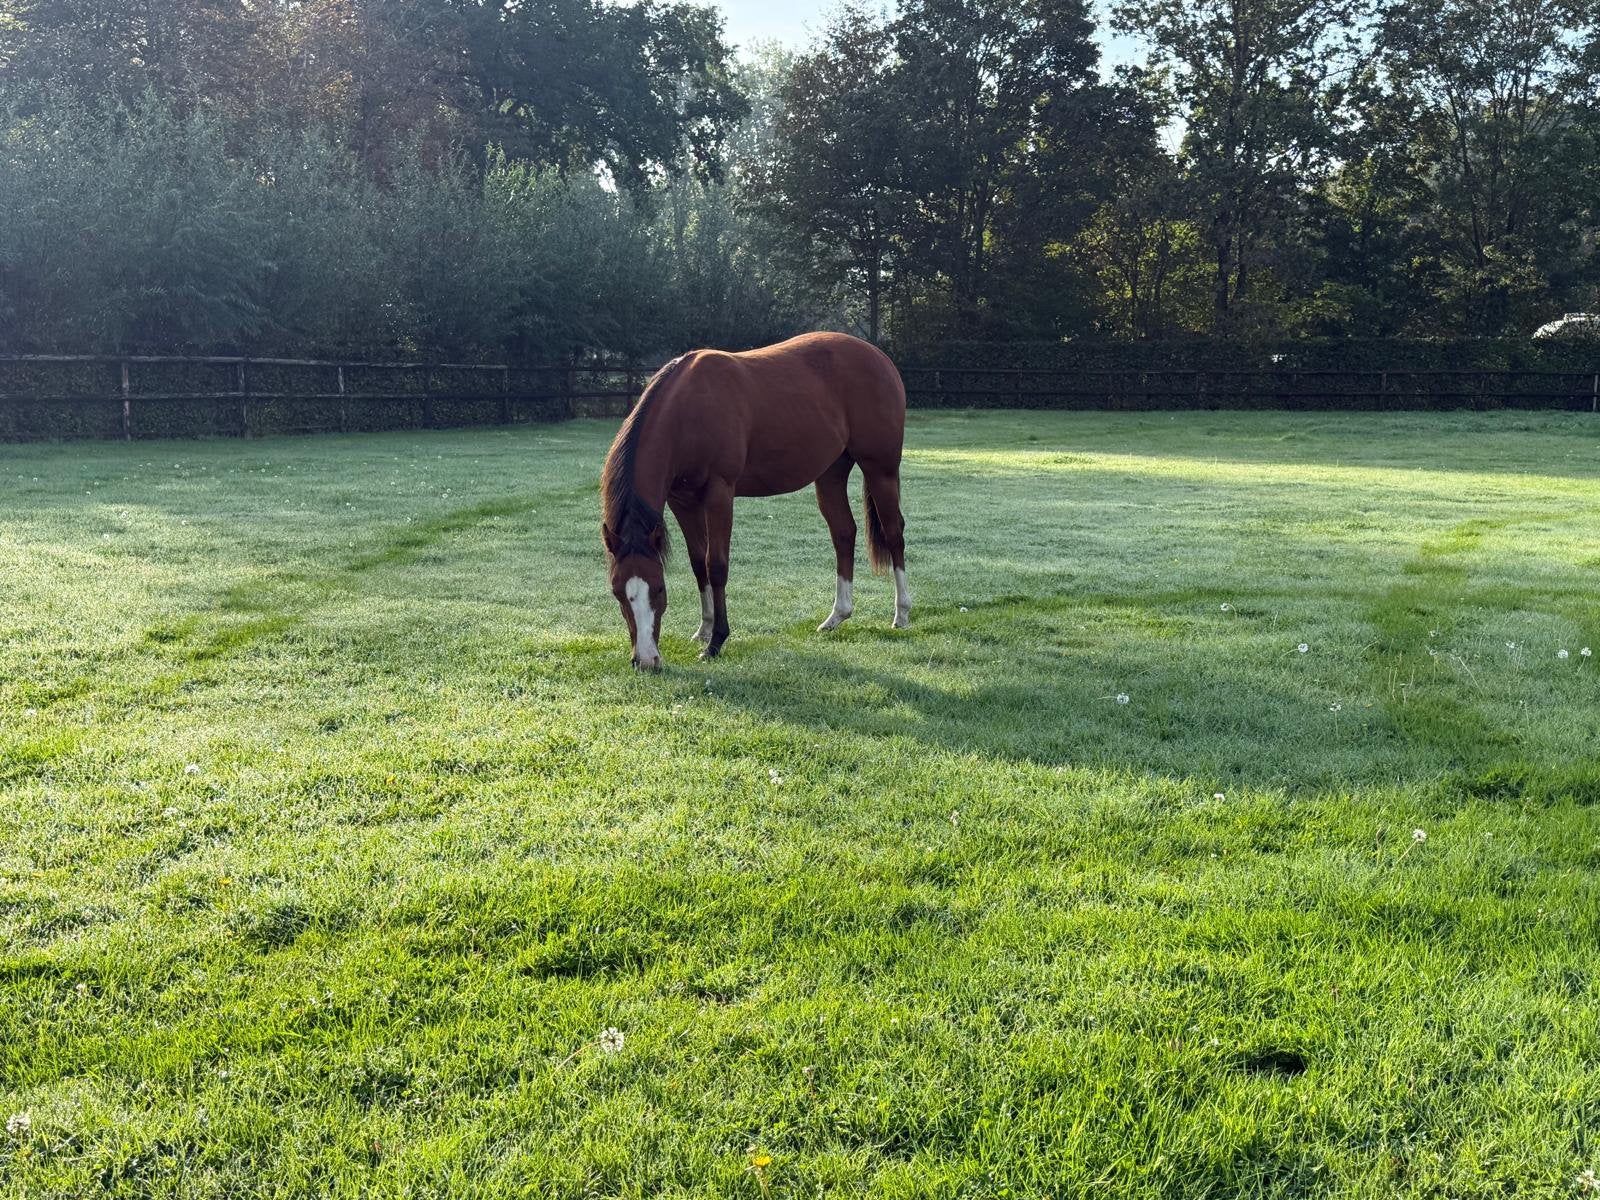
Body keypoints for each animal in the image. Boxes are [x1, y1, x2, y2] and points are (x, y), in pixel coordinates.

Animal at [600, 331, 910, 670]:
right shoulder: (682, 501)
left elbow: (715, 564)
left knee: (894, 533)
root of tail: (878, 357)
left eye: (658, 587)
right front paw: (704, 628)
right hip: (831, 474)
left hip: (880, 469)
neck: (687, 413)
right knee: (843, 533)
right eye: (617, 593)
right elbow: (698, 563)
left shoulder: (719, 493)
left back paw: (902, 613)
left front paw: (716, 640)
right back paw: (837, 616)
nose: (645, 660)